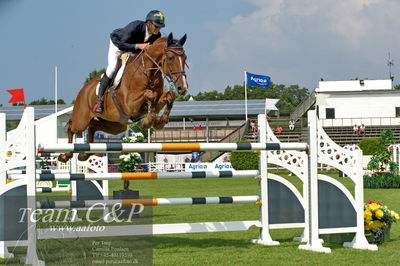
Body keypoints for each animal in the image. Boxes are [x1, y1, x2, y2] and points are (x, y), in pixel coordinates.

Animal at [58, 33, 189, 162]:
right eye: (171, 58)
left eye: (185, 58)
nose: (183, 87)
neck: (147, 72)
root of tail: (83, 89)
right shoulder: (131, 105)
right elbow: (149, 95)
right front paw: (149, 121)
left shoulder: (155, 102)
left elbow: (169, 95)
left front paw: (160, 121)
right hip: (82, 120)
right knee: (72, 127)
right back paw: (65, 155)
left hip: (117, 125)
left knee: (93, 126)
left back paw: (84, 155)